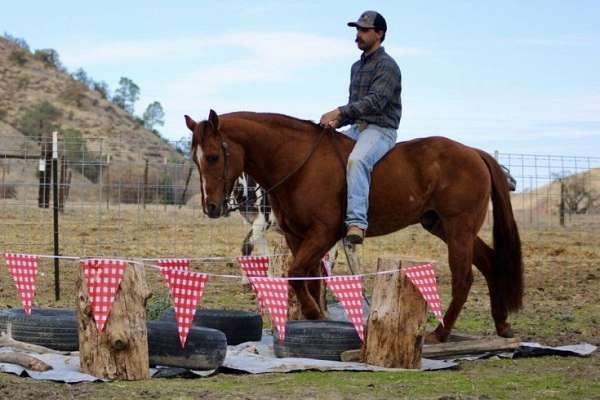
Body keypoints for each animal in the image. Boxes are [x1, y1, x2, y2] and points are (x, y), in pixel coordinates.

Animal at [185, 110, 524, 344]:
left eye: (213, 156)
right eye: (195, 159)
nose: (211, 207)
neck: (300, 164)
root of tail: (473, 152)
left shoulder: (323, 233)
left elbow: (298, 273)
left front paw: (314, 314)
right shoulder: (297, 236)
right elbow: (308, 278)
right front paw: (316, 317)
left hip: (458, 229)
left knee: (463, 278)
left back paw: (440, 333)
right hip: (442, 226)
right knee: (490, 263)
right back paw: (502, 324)